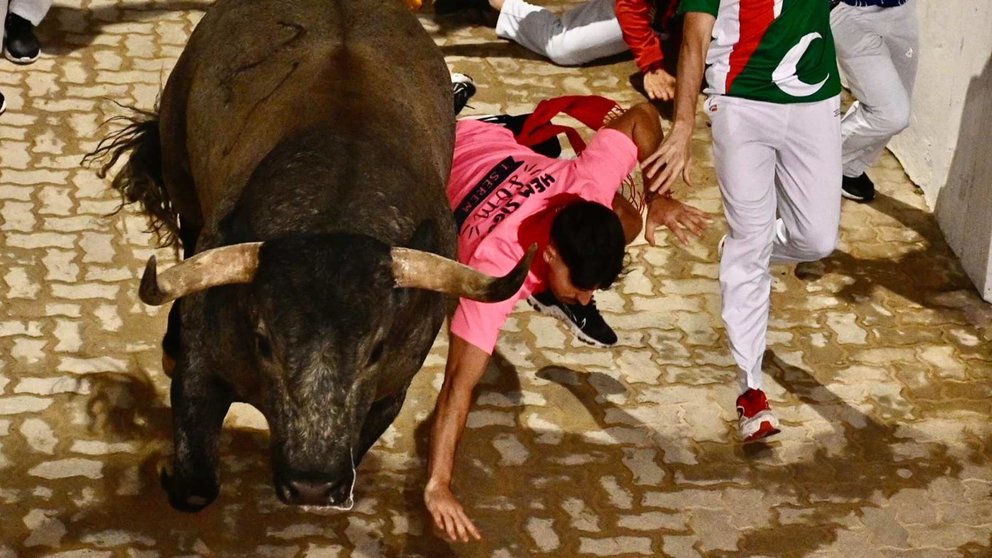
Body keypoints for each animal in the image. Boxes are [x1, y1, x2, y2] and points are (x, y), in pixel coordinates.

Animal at [89, 0, 532, 512]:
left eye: (376, 349)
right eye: (264, 341)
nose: (312, 484)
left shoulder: (389, 394)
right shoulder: (202, 371)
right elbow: (196, 484)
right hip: (182, 177)